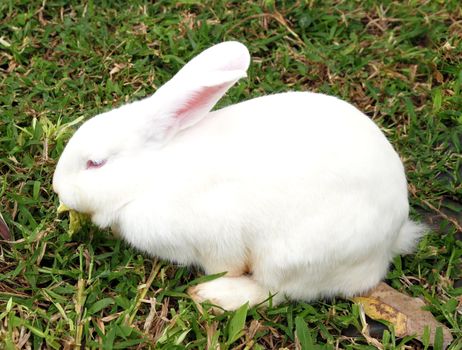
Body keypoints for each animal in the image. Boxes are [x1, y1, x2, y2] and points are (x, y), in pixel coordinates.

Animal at [52, 41, 424, 312]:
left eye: (95, 163)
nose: (58, 189)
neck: (153, 175)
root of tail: (391, 239)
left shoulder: (215, 237)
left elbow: (227, 262)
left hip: (291, 256)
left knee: (278, 292)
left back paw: (215, 295)